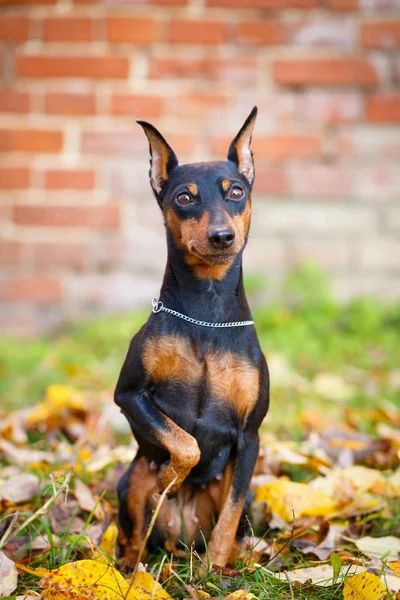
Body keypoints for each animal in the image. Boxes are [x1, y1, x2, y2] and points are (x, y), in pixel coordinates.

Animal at [116, 105, 272, 568]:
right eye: (184, 198)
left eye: (235, 191)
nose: (222, 237)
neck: (207, 313)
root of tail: (179, 539)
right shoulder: (129, 394)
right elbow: (186, 445)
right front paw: (170, 475)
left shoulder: (250, 437)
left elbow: (230, 514)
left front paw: (215, 571)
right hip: (131, 479)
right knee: (134, 537)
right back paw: (128, 568)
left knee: (234, 521)